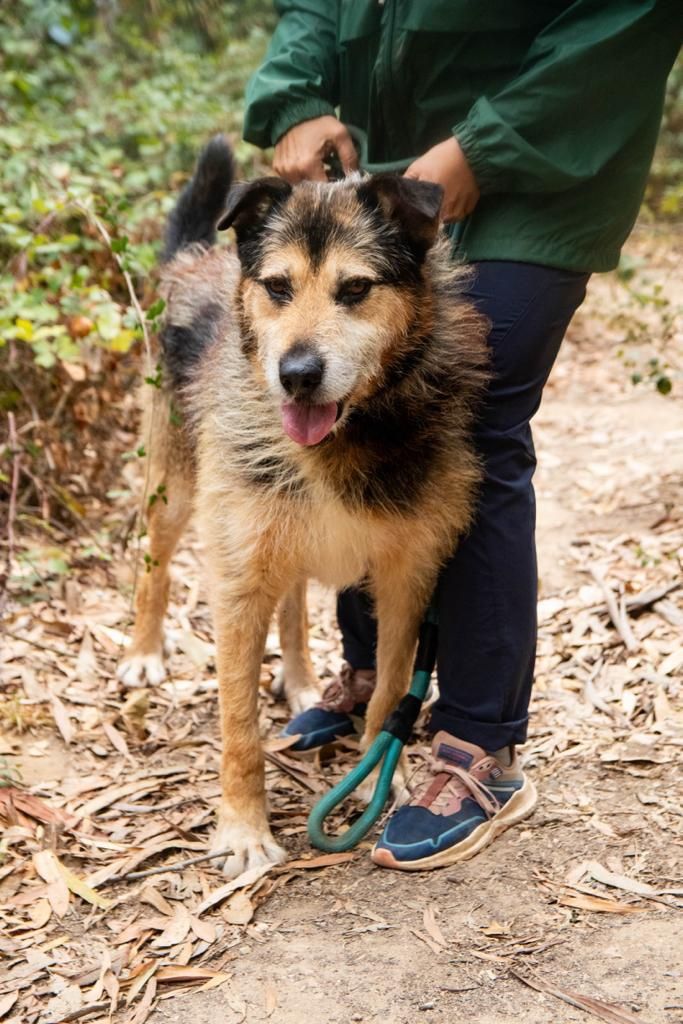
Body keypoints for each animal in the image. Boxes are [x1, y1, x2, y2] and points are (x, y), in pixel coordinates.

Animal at [118, 134, 491, 872]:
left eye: (356, 289)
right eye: (277, 288)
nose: (295, 376)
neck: (340, 441)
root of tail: (196, 258)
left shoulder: (408, 577)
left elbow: (389, 690)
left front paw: (382, 777)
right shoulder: (237, 581)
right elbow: (237, 726)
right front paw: (242, 828)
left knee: (290, 603)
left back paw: (298, 678)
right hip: (176, 490)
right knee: (155, 561)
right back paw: (145, 651)